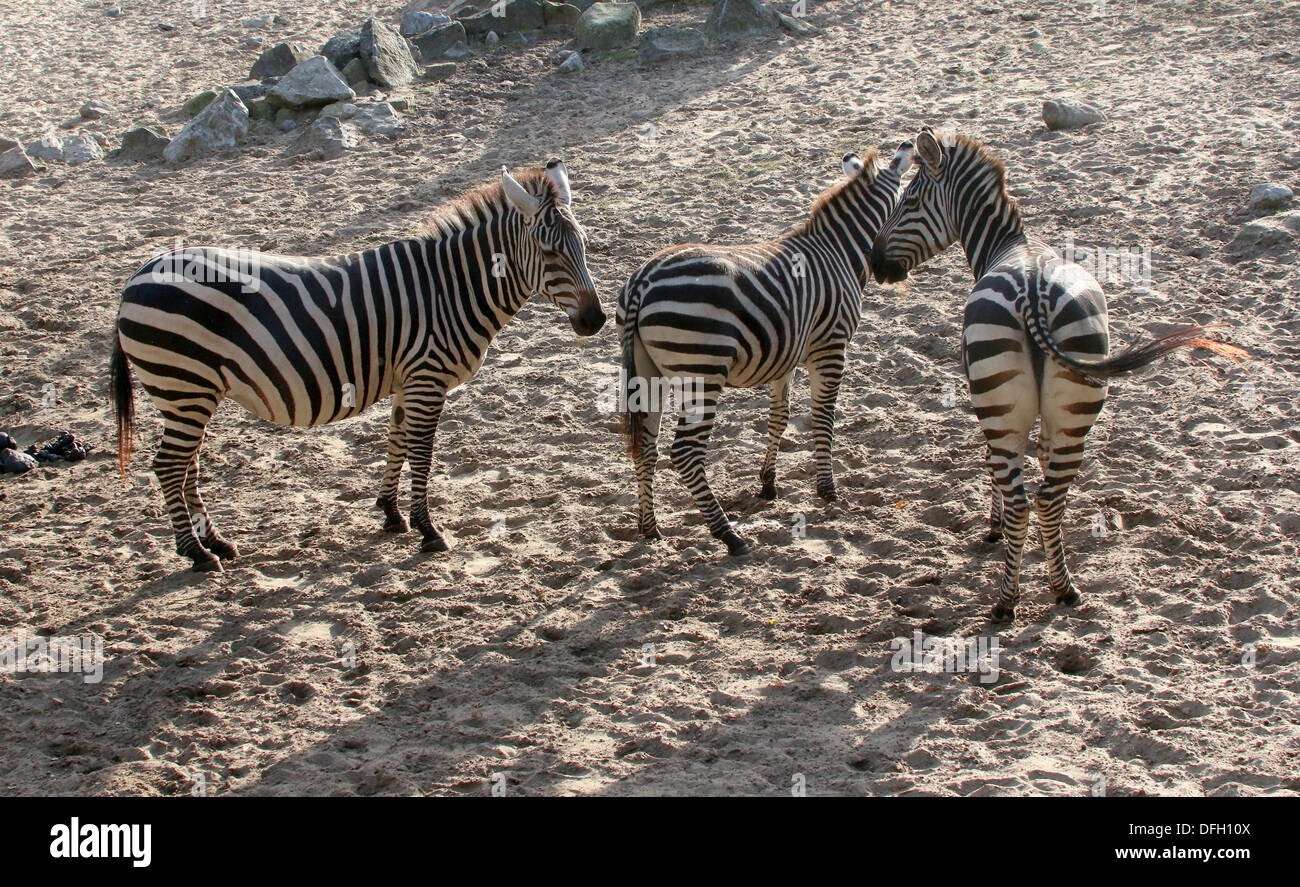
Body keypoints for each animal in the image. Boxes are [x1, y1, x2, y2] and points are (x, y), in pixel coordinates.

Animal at [109, 161, 605, 569]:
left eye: (584, 246)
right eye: (549, 252)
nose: (596, 320)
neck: (451, 288)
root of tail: (140, 273)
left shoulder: (408, 380)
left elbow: (397, 441)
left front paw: (391, 514)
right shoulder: (427, 377)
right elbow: (421, 453)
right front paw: (429, 530)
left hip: (190, 392)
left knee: (187, 465)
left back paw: (216, 542)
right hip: (184, 383)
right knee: (169, 466)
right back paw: (196, 554)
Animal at [618, 143, 915, 551]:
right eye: (909, 198)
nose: (889, 270)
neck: (839, 249)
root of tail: (643, 280)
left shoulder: (785, 355)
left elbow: (780, 417)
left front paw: (768, 483)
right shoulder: (831, 347)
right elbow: (823, 416)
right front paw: (827, 489)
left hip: (648, 373)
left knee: (646, 447)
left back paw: (650, 527)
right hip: (701, 371)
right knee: (685, 453)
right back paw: (728, 535)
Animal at [868, 126, 1242, 621]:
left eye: (909, 200)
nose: (874, 264)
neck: (1011, 244)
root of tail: (1033, 291)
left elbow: (993, 470)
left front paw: (993, 527)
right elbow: (1042, 463)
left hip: (999, 406)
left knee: (1022, 499)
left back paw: (1006, 600)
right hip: (1077, 406)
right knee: (1049, 496)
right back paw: (1063, 588)